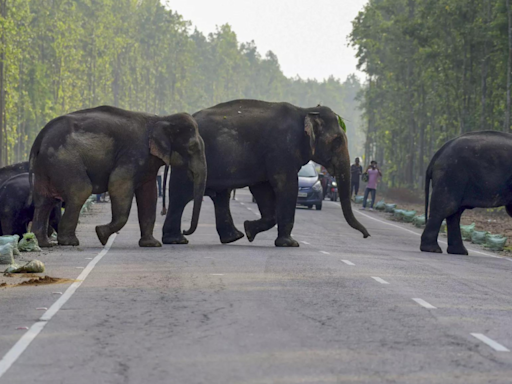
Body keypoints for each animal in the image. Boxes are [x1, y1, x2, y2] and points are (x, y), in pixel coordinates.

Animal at [29, 106, 206, 248]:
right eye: (192, 147)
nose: (185, 230)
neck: (162, 119)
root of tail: (39, 138)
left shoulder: (147, 162)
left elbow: (149, 194)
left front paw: (152, 244)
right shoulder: (133, 154)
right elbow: (118, 184)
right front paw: (101, 234)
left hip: (47, 167)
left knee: (44, 200)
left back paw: (44, 243)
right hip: (64, 159)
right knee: (80, 190)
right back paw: (69, 242)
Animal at [163, 99, 368, 248]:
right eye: (337, 140)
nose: (366, 235)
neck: (305, 111)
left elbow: (262, 189)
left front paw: (249, 230)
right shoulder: (281, 149)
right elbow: (287, 185)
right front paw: (290, 244)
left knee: (219, 196)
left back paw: (233, 237)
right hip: (189, 161)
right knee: (182, 195)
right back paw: (178, 240)